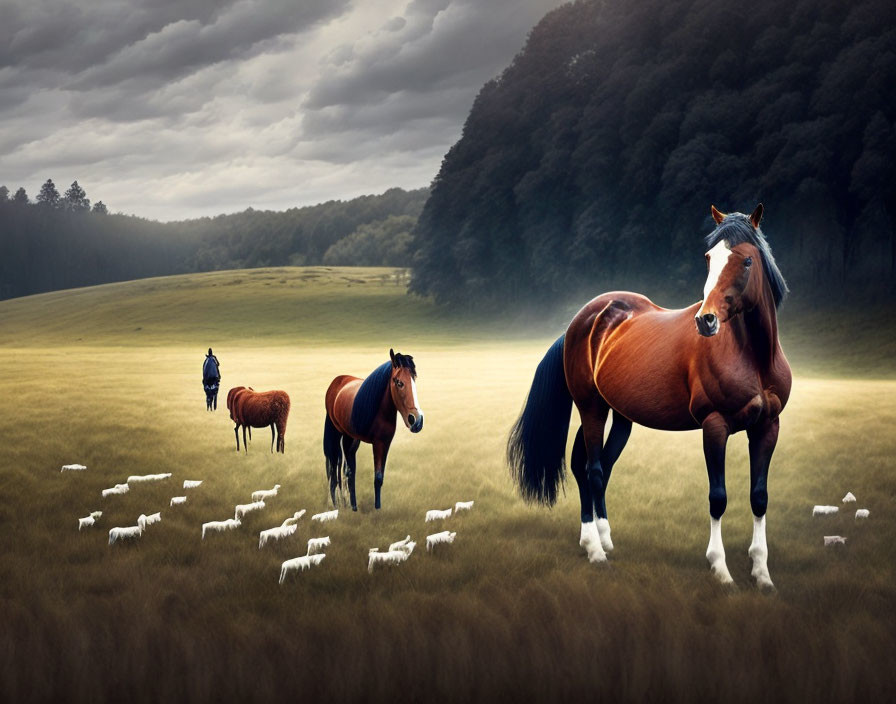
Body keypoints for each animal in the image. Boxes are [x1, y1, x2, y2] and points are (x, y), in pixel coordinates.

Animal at [324, 350, 426, 512]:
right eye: (399, 382)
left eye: (414, 380)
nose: (416, 420)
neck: (379, 410)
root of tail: (337, 381)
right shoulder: (365, 441)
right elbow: (353, 473)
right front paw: (358, 507)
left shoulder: (384, 443)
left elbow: (379, 477)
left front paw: (377, 507)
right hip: (338, 434)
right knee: (335, 468)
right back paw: (338, 503)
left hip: (353, 440)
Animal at [508, 205, 796, 588]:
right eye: (710, 258)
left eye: (747, 260)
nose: (706, 321)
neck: (753, 357)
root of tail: (580, 320)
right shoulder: (714, 427)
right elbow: (717, 498)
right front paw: (721, 570)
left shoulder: (767, 427)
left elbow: (759, 497)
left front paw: (762, 574)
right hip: (591, 408)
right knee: (593, 469)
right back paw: (596, 552)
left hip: (619, 416)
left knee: (592, 467)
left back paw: (599, 538)